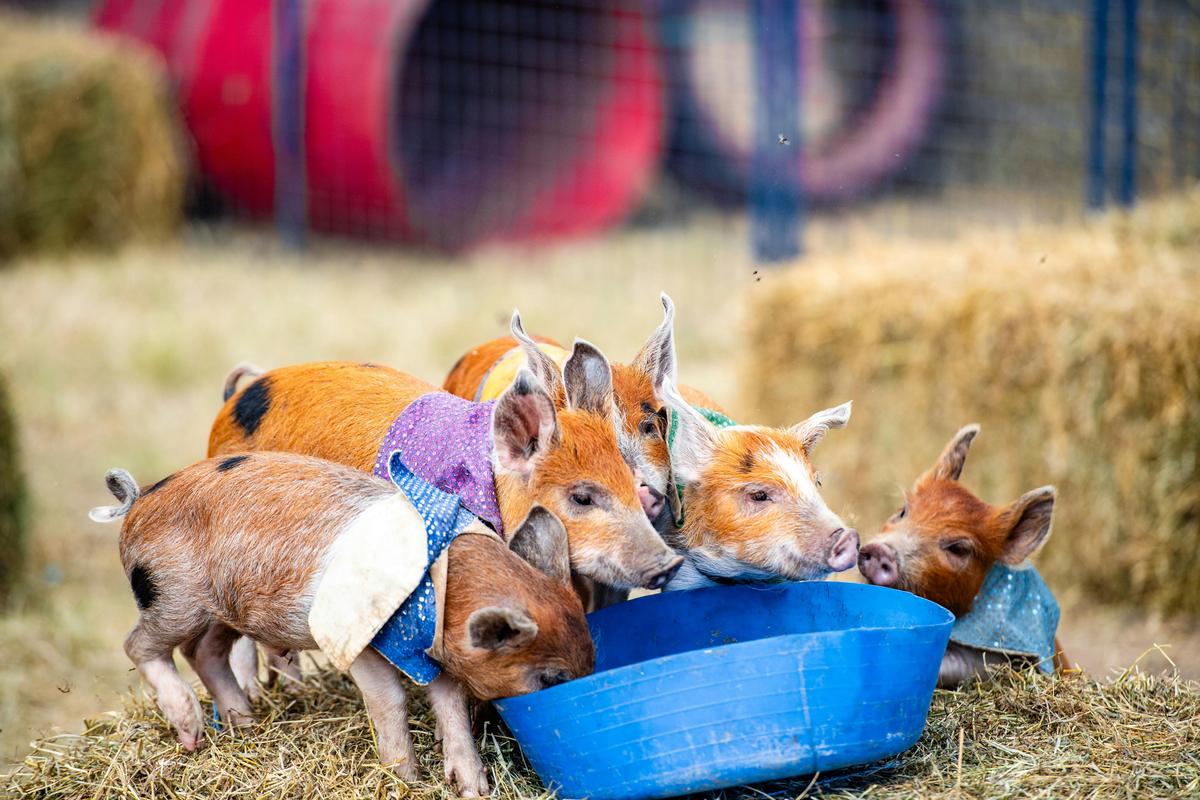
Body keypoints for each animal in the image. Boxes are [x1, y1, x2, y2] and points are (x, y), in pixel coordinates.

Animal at [90, 453, 593, 796]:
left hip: (224, 607)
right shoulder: (364, 641)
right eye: (550, 678)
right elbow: (390, 700)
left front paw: (473, 788)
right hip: (173, 597)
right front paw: (404, 779)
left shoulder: (435, 654)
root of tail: (139, 499)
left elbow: (449, 704)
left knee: (203, 652)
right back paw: (191, 732)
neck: (446, 589)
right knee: (139, 645)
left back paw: (246, 726)